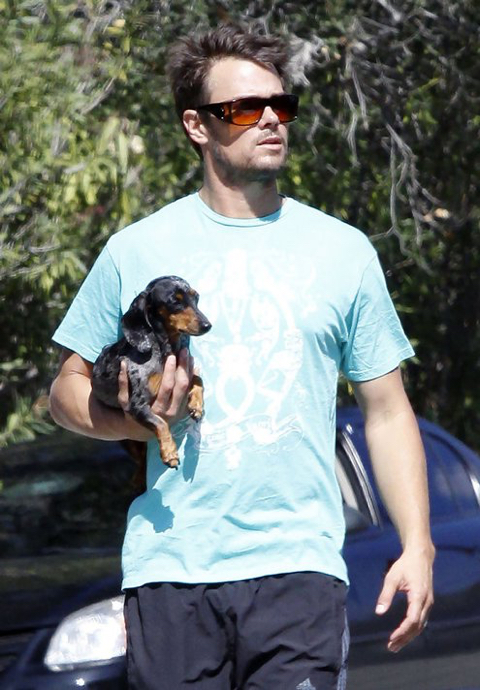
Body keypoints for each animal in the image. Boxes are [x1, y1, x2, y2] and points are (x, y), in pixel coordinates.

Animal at [91, 276, 211, 483]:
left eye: (196, 297)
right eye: (175, 301)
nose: (207, 325)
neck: (164, 351)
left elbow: (198, 379)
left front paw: (196, 404)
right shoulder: (137, 405)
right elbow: (160, 422)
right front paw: (170, 453)